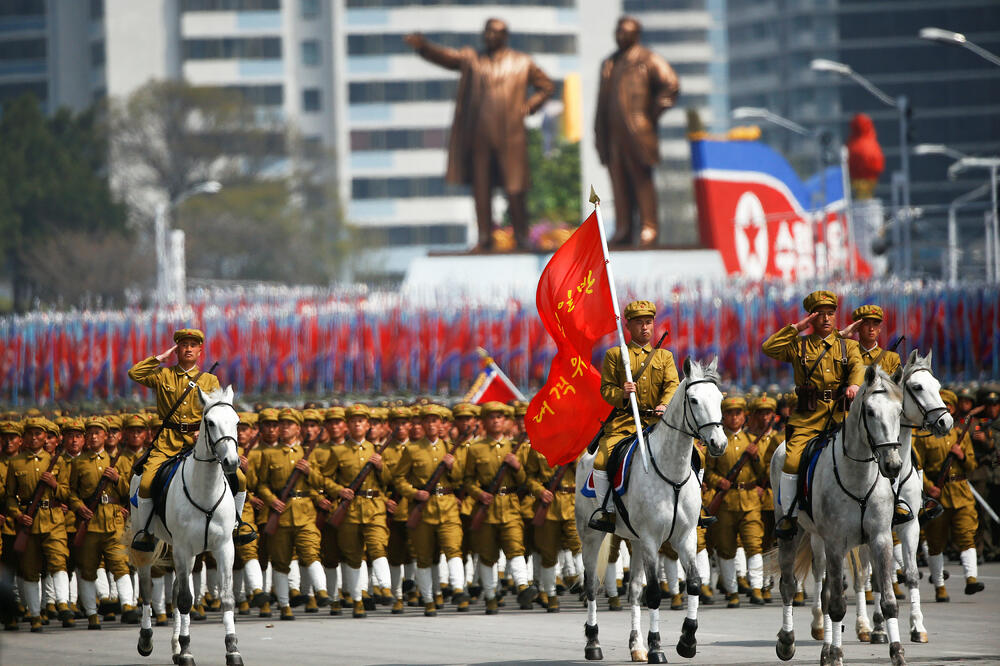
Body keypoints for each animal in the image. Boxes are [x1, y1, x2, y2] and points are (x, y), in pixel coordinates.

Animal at [129, 384, 242, 664]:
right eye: (210, 422)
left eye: (236, 421)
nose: (232, 463)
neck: (206, 489)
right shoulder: (182, 548)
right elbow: (183, 601)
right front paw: (188, 650)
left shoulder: (224, 547)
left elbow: (226, 597)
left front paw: (232, 649)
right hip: (149, 543)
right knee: (147, 588)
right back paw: (147, 639)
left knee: (177, 588)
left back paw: (176, 647)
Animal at [580, 360, 728, 660]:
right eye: (693, 400)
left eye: (719, 399)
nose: (719, 444)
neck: (672, 473)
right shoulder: (651, 539)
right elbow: (656, 594)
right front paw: (657, 647)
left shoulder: (685, 537)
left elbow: (694, 583)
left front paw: (687, 641)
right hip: (591, 535)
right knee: (590, 586)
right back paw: (593, 643)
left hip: (635, 541)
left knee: (635, 590)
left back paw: (636, 646)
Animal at [768, 364, 912, 664]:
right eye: (870, 412)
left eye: (899, 411)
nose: (893, 465)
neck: (858, 476)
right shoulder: (836, 542)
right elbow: (836, 605)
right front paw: (835, 654)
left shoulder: (880, 539)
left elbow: (888, 602)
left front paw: (897, 652)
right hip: (793, 533)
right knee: (789, 585)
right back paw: (787, 641)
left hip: (819, 540)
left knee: (822, 592)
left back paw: (823, 648)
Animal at [852, 350, 952, 640]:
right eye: (917, 387)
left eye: (938, 386)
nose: (946, 421)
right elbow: (874, 576)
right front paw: (877, 625)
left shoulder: (909, 523)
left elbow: (911, 573)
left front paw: (917, 626)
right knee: (862, 575)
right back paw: (865, 625)